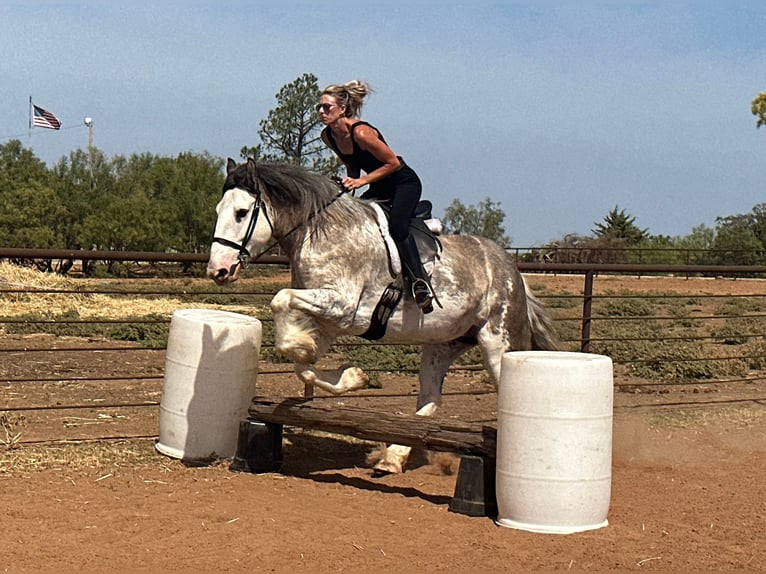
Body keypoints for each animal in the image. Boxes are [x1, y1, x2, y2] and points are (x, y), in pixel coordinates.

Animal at [207, 160, 560, 474]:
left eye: (241, 213)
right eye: (217, 210)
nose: (218, 271)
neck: (320, 232)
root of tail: (513, 271)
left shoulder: (344, 308)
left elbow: (280, 301)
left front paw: (329, 361)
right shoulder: (328, 320)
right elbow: (301, 363)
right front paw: (349, 374)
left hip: (499, 343)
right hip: (443, 343)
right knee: (430, 399)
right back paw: (392, 458)